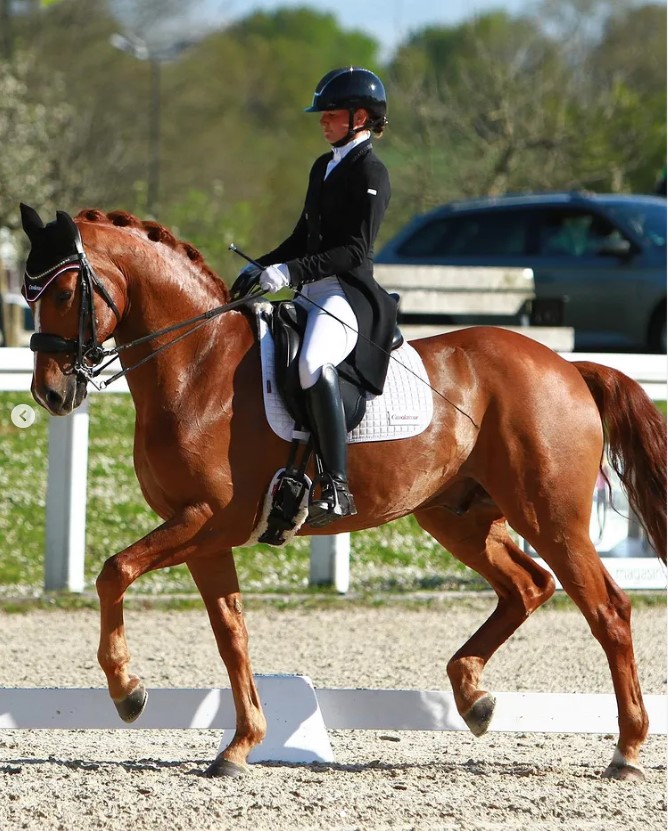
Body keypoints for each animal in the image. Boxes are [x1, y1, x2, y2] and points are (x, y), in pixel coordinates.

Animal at [19, 205, 664, 784]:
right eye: (28, 294)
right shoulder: (205, 537)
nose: (50, 394)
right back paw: (473, 697)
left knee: (607, 610)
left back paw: (626, 751)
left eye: (65, 291)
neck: (197, 365)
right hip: (459, 516)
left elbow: (114, 572)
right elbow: (232, 636)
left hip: (549, 516)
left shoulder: (209, 520)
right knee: (527, 586)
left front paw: (128, 691)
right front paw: (240, 745)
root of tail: (567, 366)